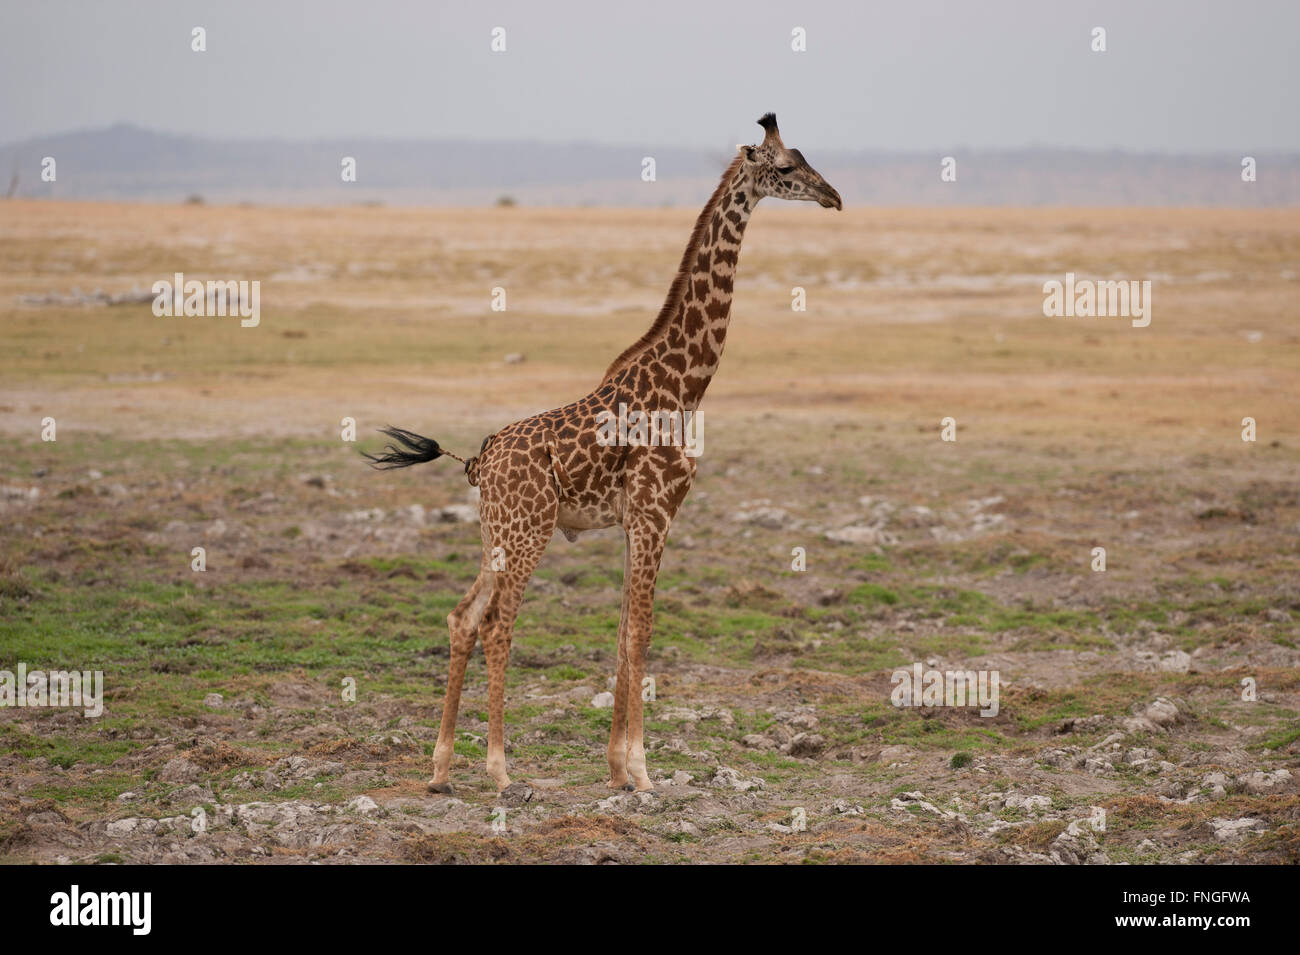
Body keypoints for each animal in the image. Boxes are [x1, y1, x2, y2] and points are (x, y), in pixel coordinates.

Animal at [369, 111, 842, 795]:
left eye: (805, 159)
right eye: (784, 167)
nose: (834, 196)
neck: (686, 385)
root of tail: (479, 462)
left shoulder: (633, 521)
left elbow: (621, 632)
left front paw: (617, 766)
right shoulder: (655, 513)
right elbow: (641, 633)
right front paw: (642, 772)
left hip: (496, 533)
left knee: (462, 618)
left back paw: (439, 768)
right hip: (529, 528)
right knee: (497, 624)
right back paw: (499, 769)